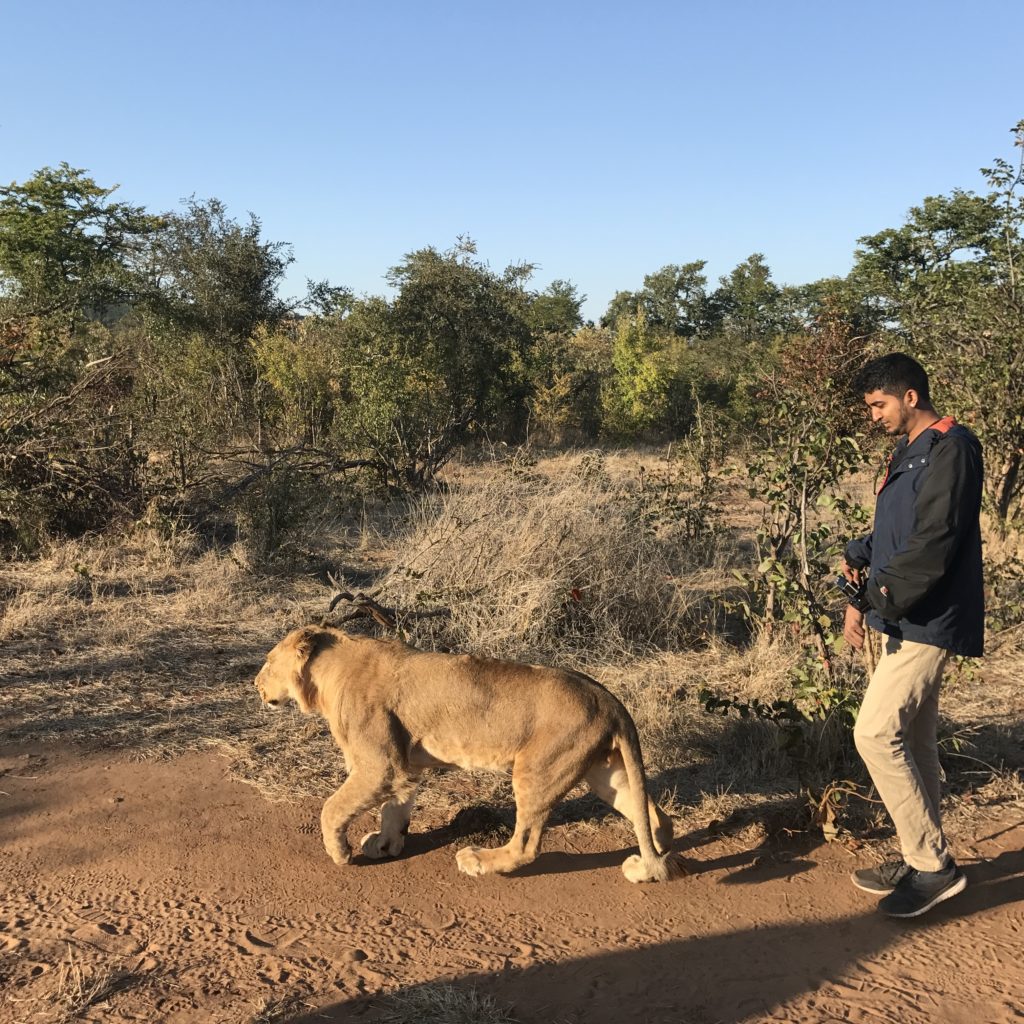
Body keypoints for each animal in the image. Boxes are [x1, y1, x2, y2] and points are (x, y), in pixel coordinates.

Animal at [252, 622, 684, 880]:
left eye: (268, 661)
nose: (255, 685)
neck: (329, 672)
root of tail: (608, 697)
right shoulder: (405, 767)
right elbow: (395, 809)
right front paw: (386, 844)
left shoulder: (381, 766)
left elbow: (332, 808)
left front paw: (339, 852)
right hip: (603, 772)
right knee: (654, 815)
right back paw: (655, 856)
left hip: (537, 769)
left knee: (526, 845)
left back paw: (477, 860)